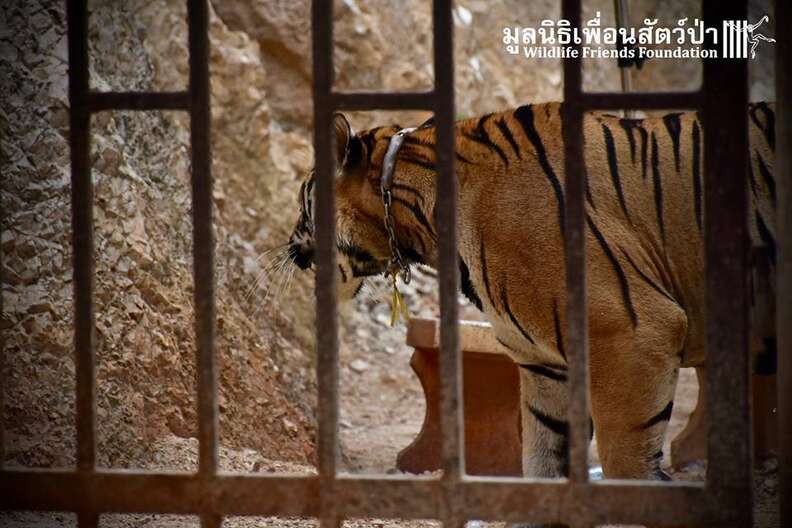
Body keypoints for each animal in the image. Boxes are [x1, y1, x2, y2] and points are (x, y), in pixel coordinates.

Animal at [284, 101, 772, 484]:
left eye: (302, 199)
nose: (288, 248)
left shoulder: (633, 336)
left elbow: (626, 464)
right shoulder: (546, 366)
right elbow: (543, 463)